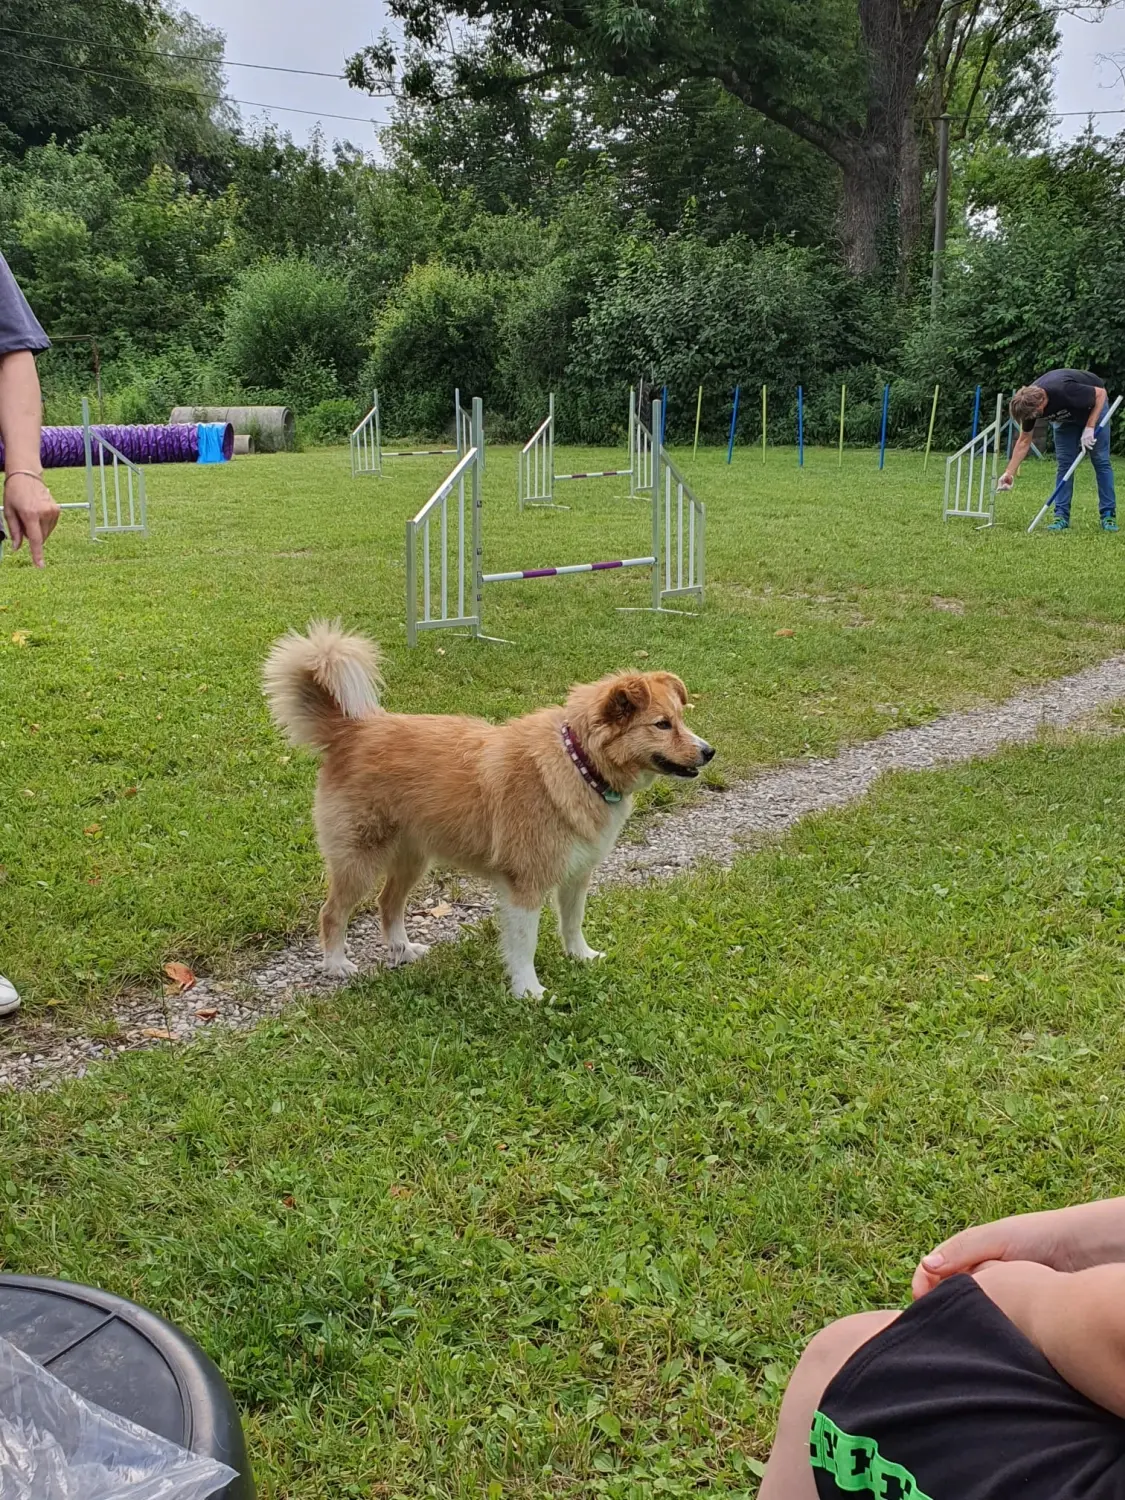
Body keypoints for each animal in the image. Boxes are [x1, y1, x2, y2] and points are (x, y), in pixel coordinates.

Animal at [264, 621, 714, 996]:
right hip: (359, 858)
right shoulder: (526, 884)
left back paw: (403, 950)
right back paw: (336, 963)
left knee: (387, 903)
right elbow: (524, 944)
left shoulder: (576, 875)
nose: (709, 751)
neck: (580, 763)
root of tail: (352, 730)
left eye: (680, 718)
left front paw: (581, 957)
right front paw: (529, 991)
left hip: (413, 857)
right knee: (332, 912)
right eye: (662, 724)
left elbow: (572, 923)